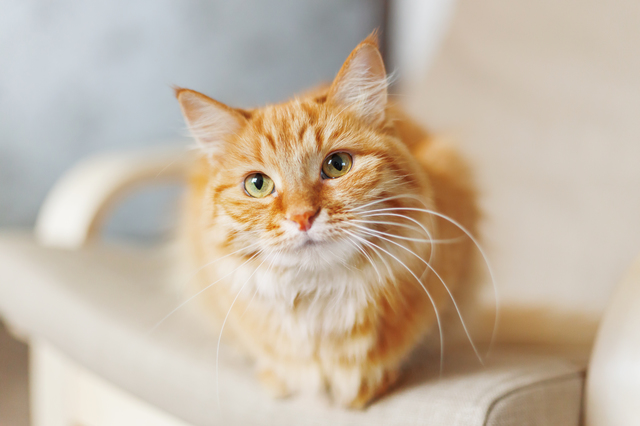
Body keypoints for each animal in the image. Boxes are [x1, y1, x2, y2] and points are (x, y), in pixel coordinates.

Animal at [178, 35, 478, 408]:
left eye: (337, 165)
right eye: (257, 184)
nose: (302, 217)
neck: (319, 299)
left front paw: (369, 384)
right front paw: (279, 377)